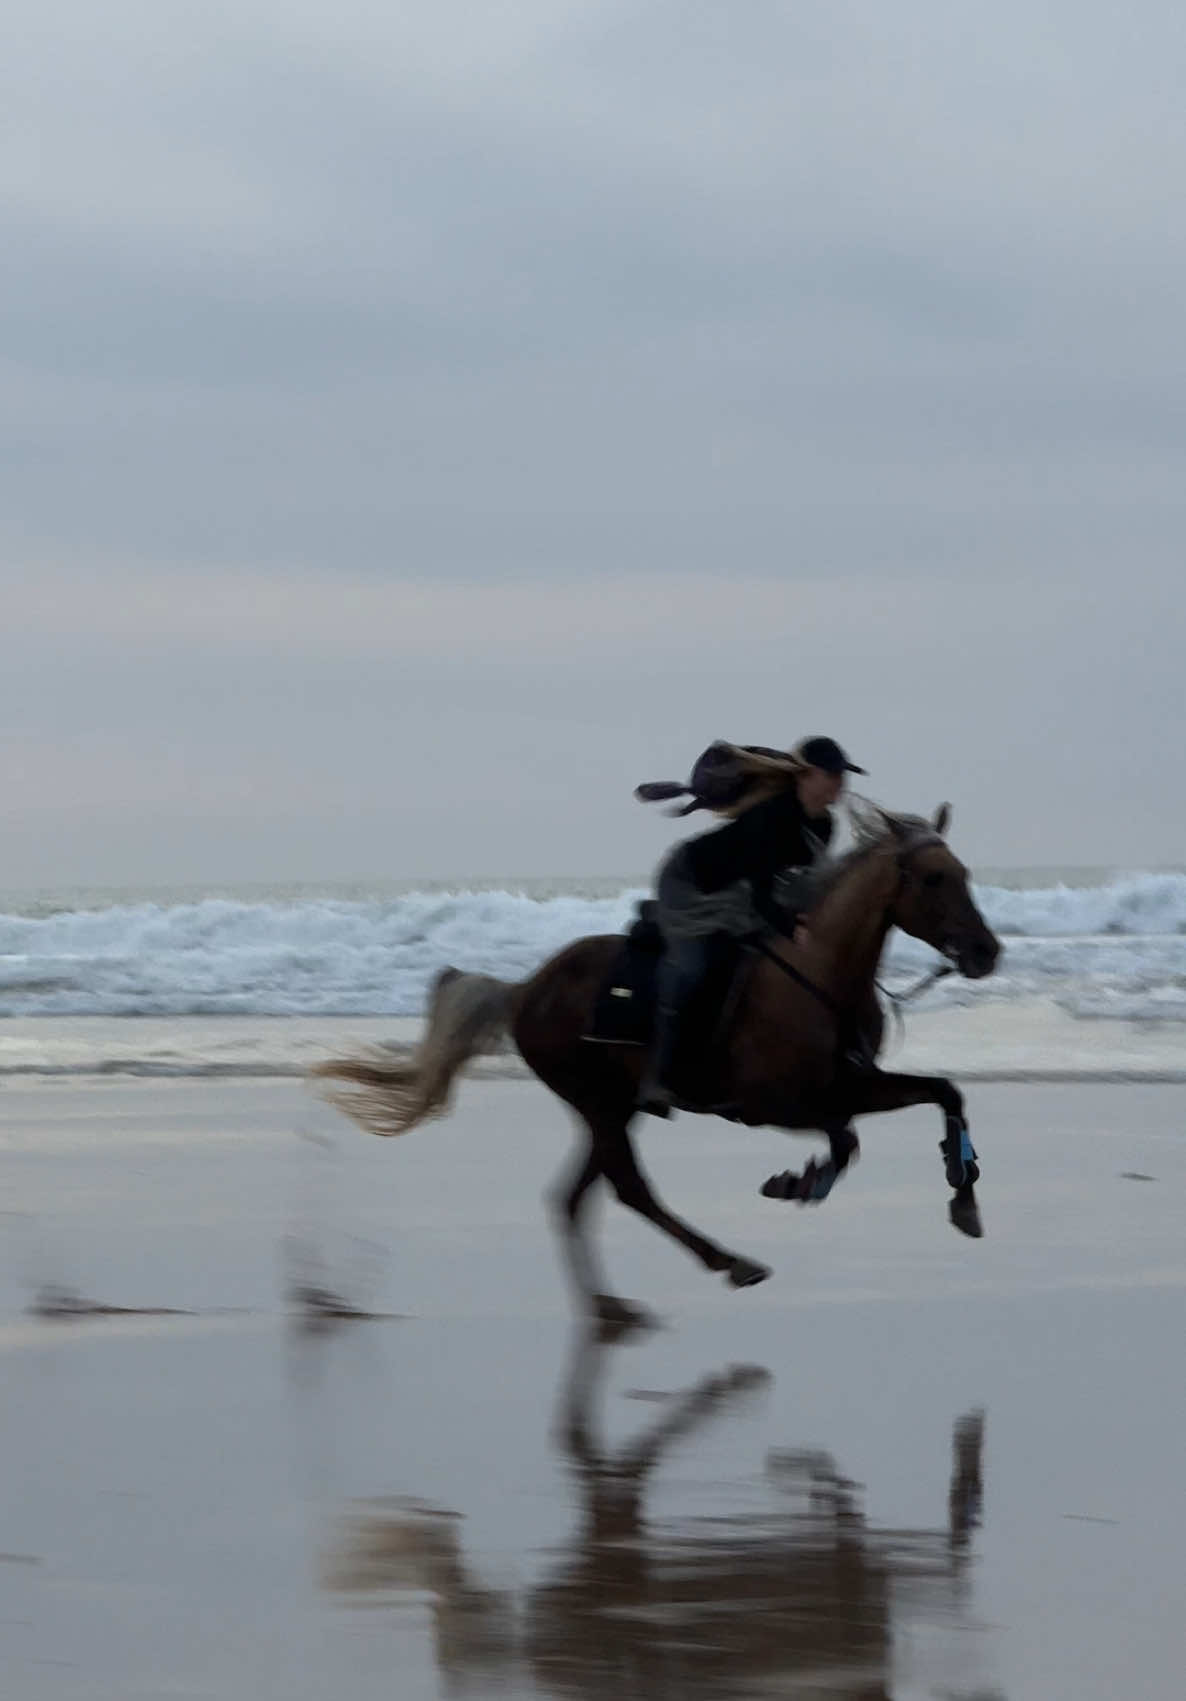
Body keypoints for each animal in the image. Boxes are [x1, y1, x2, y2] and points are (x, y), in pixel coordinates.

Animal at [314, 809, 1000, 1326]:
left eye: (963, 873)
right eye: (934, 878)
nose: (986, 951)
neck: (820, 975)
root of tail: (524, 989)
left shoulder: (854, 1082)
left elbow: (944, 1093)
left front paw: (963, 1197)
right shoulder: (774, 1104)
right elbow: (847, 1138)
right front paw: (800, 1181)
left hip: (614, 1105)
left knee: (577, 1195)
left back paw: (610, 1305)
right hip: (596, 1100)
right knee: (627, 1187)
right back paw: (728, 1263)